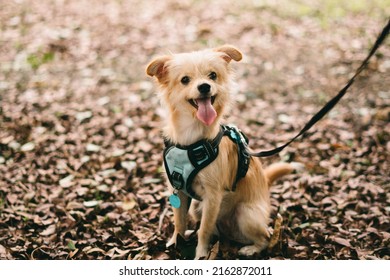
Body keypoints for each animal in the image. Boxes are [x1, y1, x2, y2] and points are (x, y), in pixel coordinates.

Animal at [146, 44, 298, 260]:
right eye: (185, 80)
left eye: (213, 75)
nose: (204, 86)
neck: (192, 138)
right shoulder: (180, 193)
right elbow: (179, 222)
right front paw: (176, 242)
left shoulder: (213, 196)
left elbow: (205, 230)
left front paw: (201, 254)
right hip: (197, 208)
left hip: (245, 213)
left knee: (265, 238)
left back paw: (250, 249)